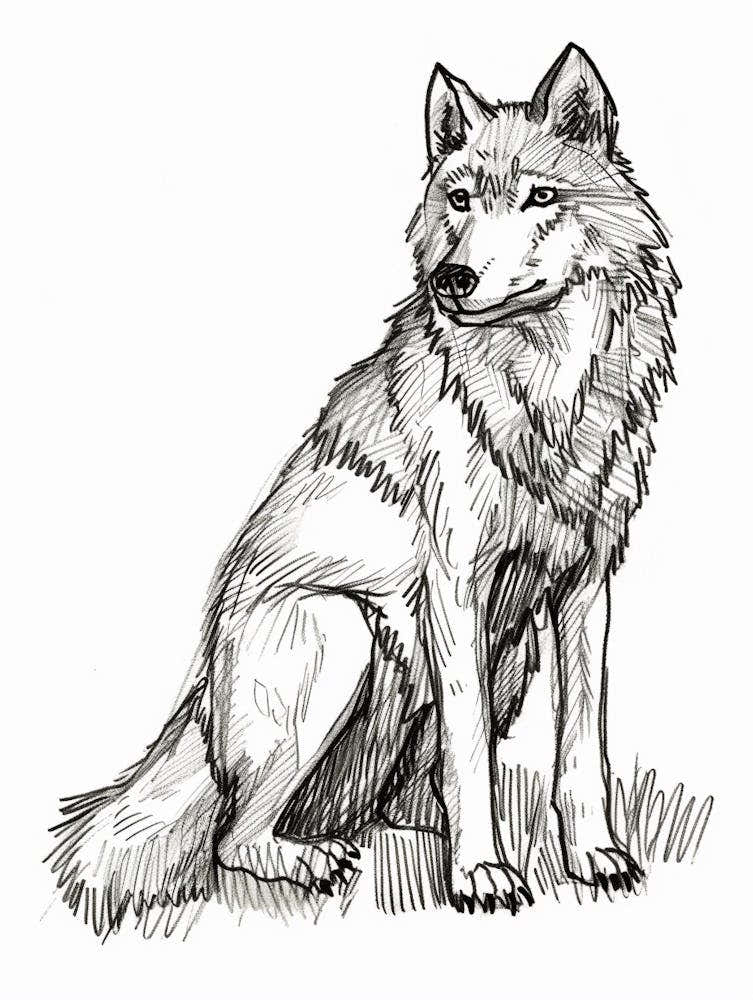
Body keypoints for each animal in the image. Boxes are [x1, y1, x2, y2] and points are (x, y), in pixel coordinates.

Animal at [48, 43, 679, 927]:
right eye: (459, 199)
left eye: (540, 197)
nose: (452, 278)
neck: (543, 384)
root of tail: (199, 700)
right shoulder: (454, 582)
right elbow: (468, 752)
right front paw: (480, 873)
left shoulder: (585, 583)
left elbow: (580, 745)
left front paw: (591, 855)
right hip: (341, 631)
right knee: (237, 836)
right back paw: (310, 858)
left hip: (508, 648)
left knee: (393, 793)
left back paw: (409, 820)